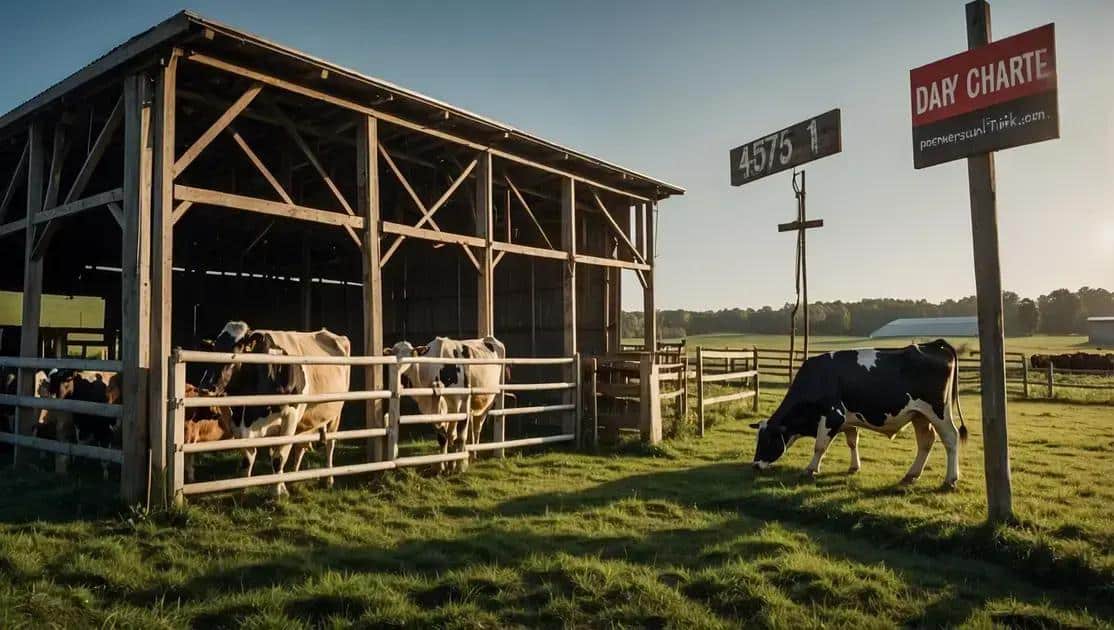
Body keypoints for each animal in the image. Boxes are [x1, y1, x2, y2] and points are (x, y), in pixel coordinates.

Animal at [204, 320, 349, 498]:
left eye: (235, 351)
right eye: (214, 348)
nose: (207, 387)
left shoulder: (290, 417)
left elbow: (279, 458)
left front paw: (278, 491)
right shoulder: (238, 422)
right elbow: (248, 459)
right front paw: (244, 489)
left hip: (335, 414)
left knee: (330, 444)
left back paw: (328, 479)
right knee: (300, 447)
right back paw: (294, 477)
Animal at [383, 336, 505, 474]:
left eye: (411, 354)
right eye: (394, 353)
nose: (399, 369)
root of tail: (488, 338)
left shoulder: (462, 402)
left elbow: (460, 436)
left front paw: (460, 465)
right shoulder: (432, 408)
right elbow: (443, 437)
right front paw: (443, 466)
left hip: (489, 400)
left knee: (477, 427)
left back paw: (473, 455)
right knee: (465, 430)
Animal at [748, 340, 966, 489]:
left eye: (767, 440)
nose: (755, 465)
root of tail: (933, 345)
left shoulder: (833, 417)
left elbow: (820, 446)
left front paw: (811, 469)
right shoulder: (848, 420)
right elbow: (852, 441)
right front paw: (854, 467)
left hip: (939, 412)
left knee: (951, 438)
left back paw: (950, 479)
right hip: (919, 415)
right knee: (926, 441)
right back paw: (911, 475)